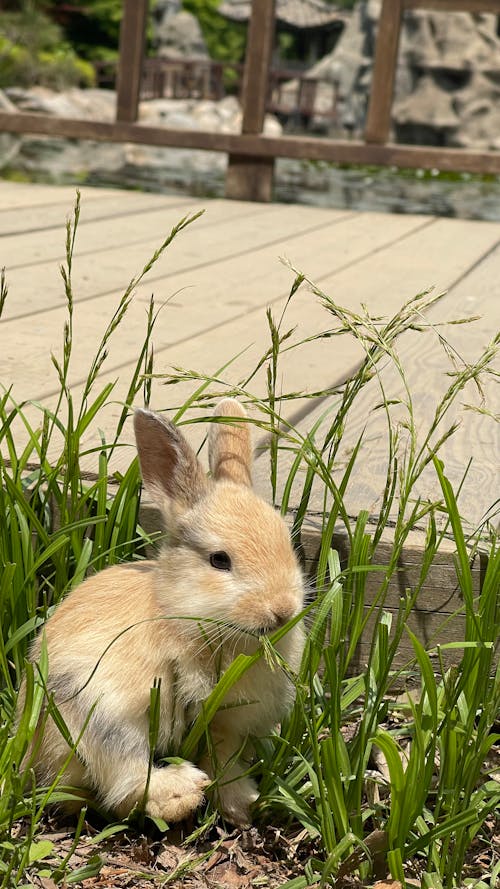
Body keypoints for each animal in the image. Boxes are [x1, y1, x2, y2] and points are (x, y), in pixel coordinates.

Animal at [25, 398, 306, 824]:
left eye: (287, 542)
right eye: (219, 560)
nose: (282, 611)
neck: (181, 614)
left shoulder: (226, 727)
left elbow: (225, 760)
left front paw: (240, 806)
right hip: (92, 716)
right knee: (123, 780)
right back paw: (182, 794)